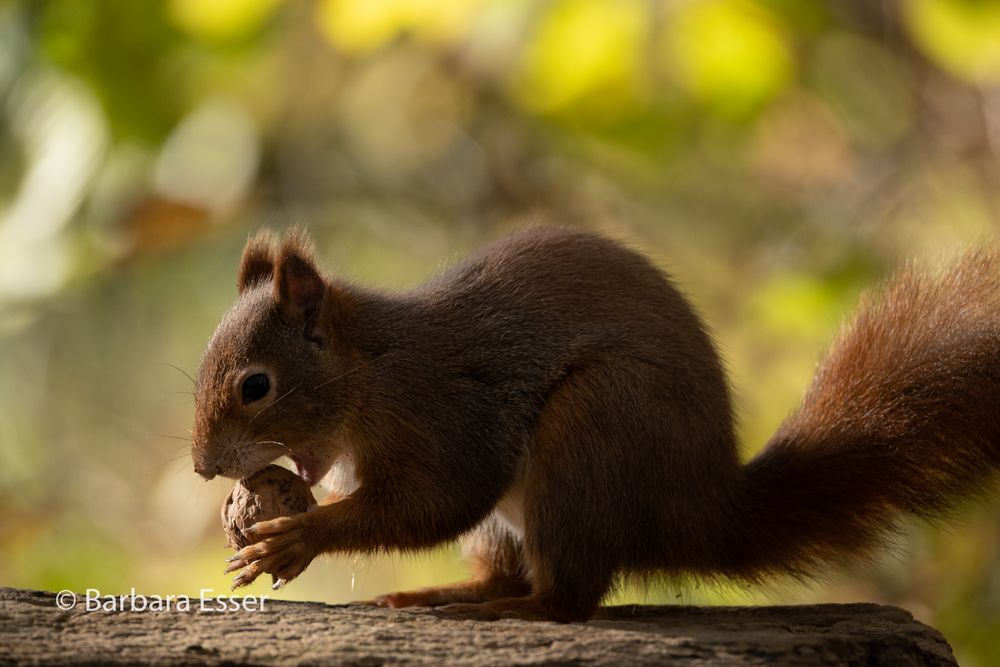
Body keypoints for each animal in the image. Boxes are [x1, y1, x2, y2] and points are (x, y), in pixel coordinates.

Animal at [191, 227, 1000, 624]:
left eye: (256, 386)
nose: (202, 465)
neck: (370, 372)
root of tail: (703, 507)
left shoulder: (449, 413)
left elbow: (438, 500)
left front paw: (298, 536)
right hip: (525, 510)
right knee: (507, 568)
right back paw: (446, 596)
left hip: (594, 429)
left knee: (571, 597)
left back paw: (517, 612)